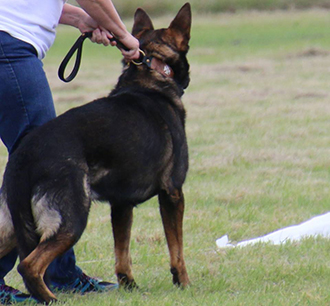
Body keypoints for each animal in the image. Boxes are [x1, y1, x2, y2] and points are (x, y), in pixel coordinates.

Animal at [0, 1, 192, 304]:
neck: (150, 74)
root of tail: (23, 157)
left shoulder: (121, 205)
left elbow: (122, 253)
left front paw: (129, 287)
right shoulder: (172, 193)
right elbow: (177, 249)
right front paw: (184, 283)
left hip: (12, 225)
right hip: (72, 218)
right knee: (29, 265)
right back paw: (51, 298)